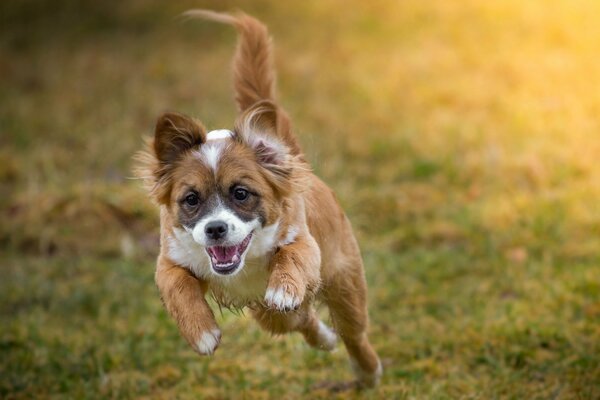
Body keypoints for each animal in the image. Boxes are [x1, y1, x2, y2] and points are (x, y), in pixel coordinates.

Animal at [135, 9, 380, 390]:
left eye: (241, 193)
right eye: (191, 199)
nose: (215, 229)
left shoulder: (303, 242)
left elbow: (292, 256)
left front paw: (283, 289)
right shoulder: (169, 259)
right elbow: (177, 286)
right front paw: (202, 334)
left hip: (344, 284)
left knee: (352, 333)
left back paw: (367, 370)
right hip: (266, 315)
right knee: (303, 321)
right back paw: (325, 338)